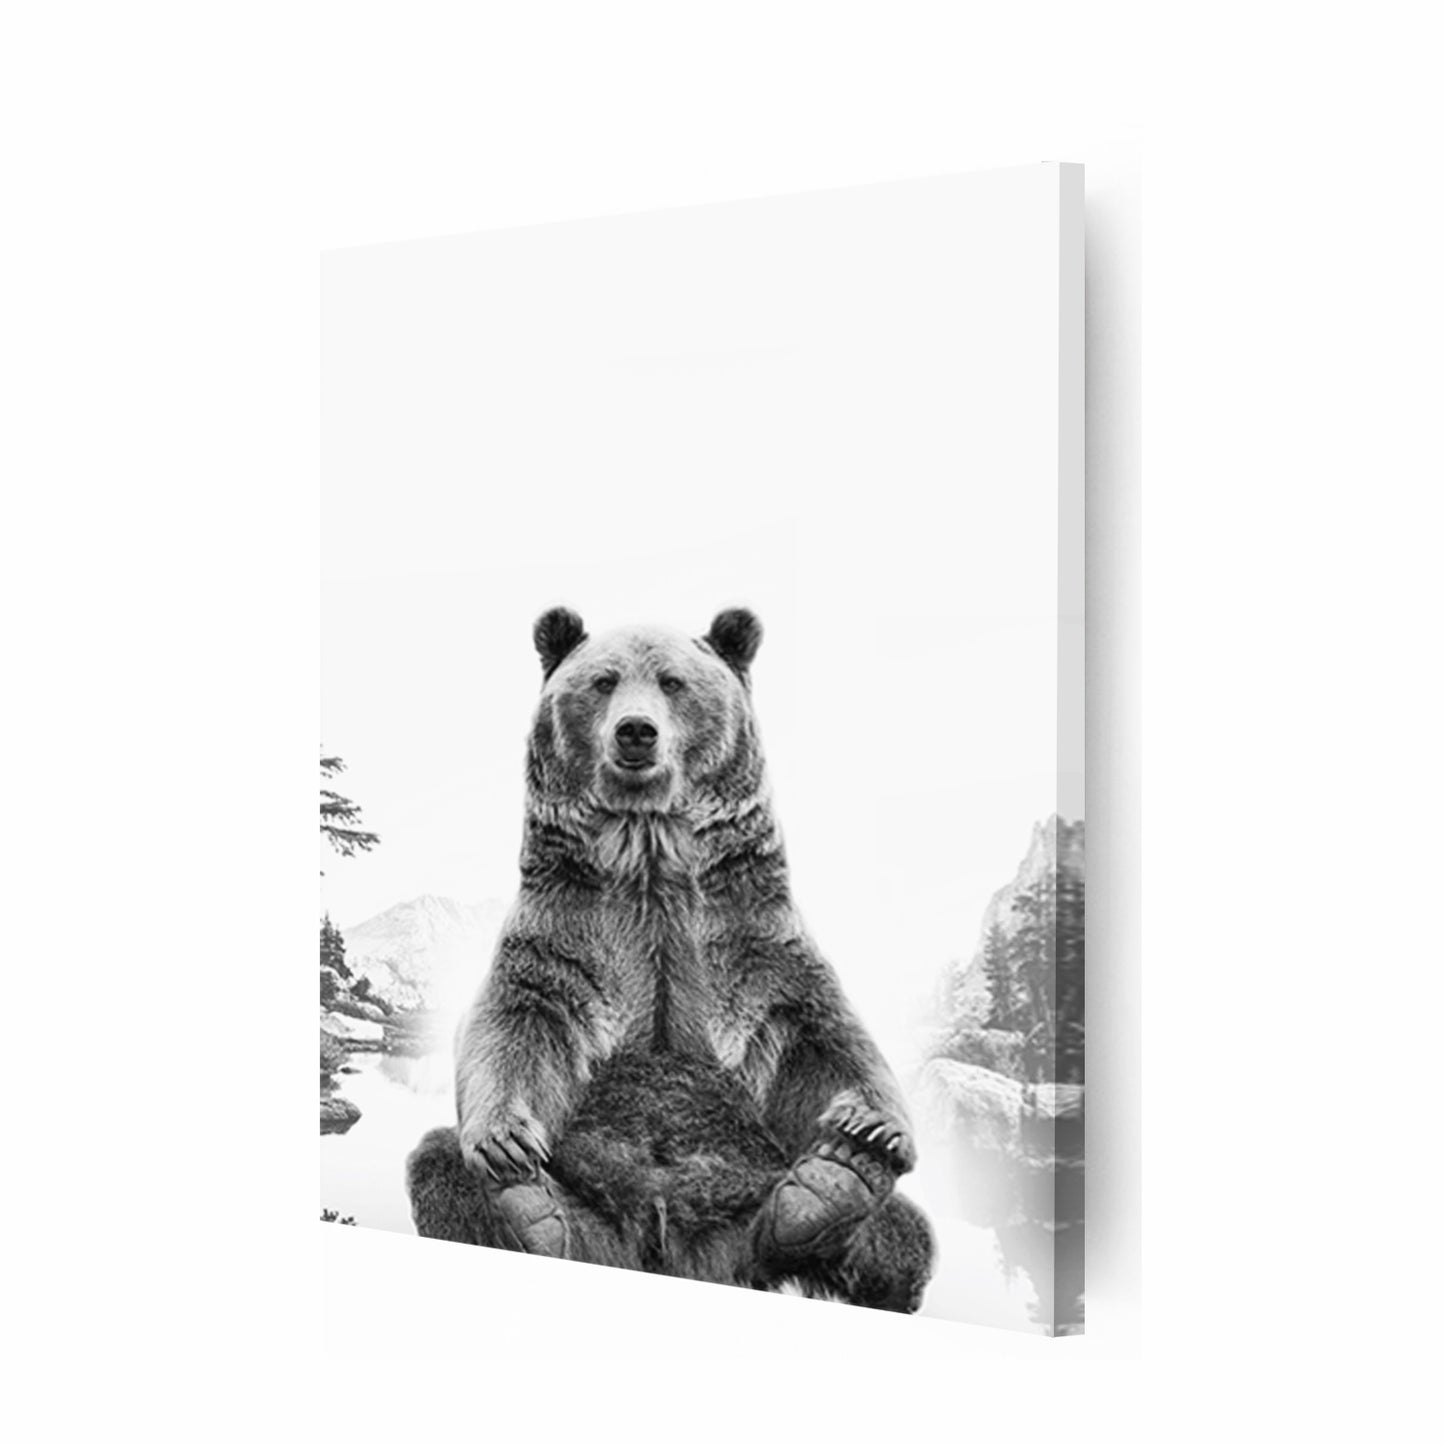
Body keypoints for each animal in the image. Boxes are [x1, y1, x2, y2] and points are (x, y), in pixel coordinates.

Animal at [406, 607, 934, 1311]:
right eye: (603, 680)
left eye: (674, 682)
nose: (636, 730)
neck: (649, 852)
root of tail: (671, 1252)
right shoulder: (567, 931)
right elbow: (517, 1022)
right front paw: (505, 1140)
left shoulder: (748, 938)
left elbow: (819, 1037)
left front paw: (873, 1128)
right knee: (439, 1163)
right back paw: (533, 1211)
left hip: (746, 1210)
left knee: (902, 1232)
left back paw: (831, 1183)